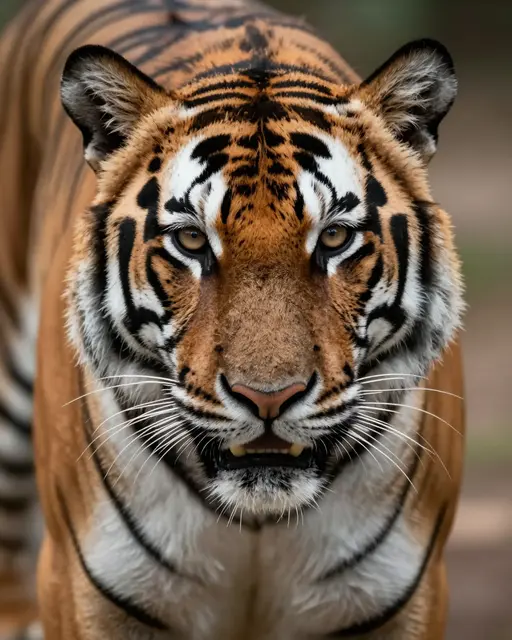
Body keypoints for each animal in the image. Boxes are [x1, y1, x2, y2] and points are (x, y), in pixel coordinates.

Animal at [0, 0, 465, 638]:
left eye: (335, 239)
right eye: (193, 241)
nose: (268, 398)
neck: (260, 520)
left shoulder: (403, 597)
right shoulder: (83, 589)